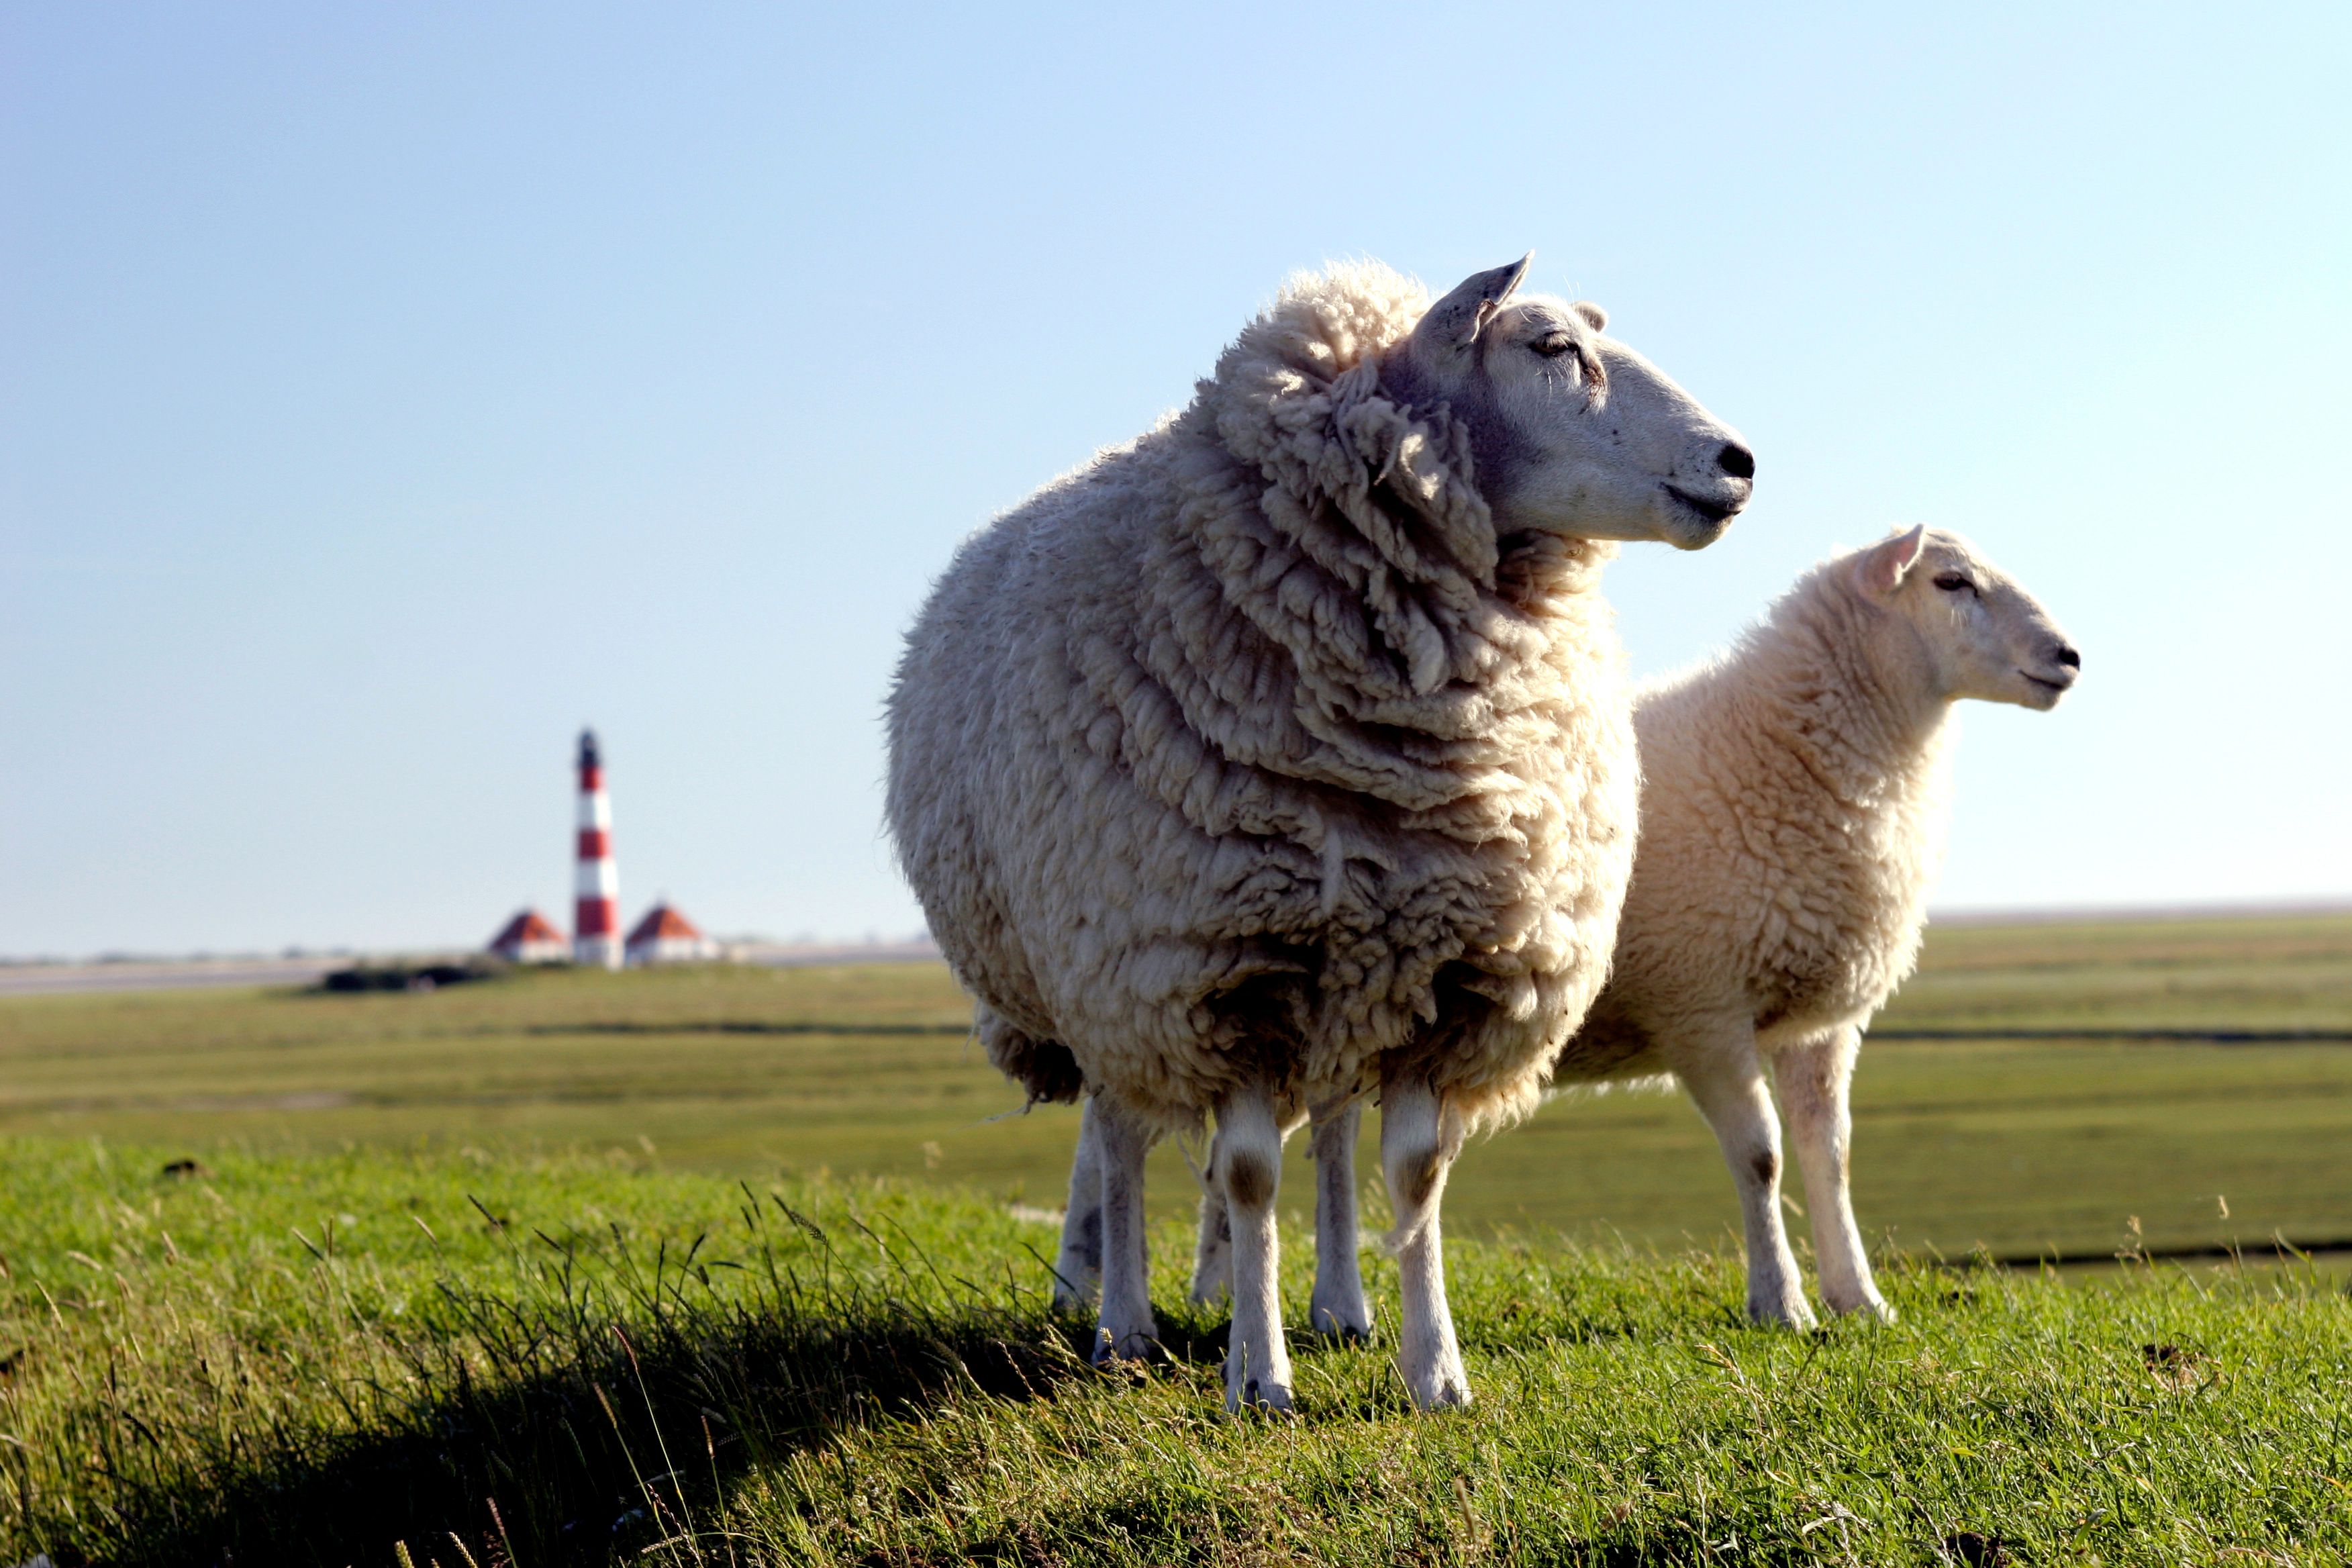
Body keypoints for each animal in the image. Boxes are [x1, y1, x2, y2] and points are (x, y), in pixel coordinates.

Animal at [886, 256, 1754, 1410]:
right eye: (1549, 347)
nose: (1739, 464)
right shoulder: (1223, 970)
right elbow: (1247, 1172)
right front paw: (1258, 1380)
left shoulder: (1448, 964)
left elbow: (1414, 1173)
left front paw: (1434, 1373)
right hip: (1106, 970)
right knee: (1117, 1136)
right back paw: (1121, 1323)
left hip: (1339, 967)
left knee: (1333, 1135)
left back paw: (1338, 1304)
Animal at [1196, 526, 2078, 1330]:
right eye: (1951, 581)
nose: (2069, 656)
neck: (1793, 750)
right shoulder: (1703, 1007)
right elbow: (1762, 1155)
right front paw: (1782, 1303)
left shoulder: (1819, 1021)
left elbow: (1831, 1154)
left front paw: (1859, 1297)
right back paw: (1276, 1305)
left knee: (1294, 1146)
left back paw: (1247, 1295)